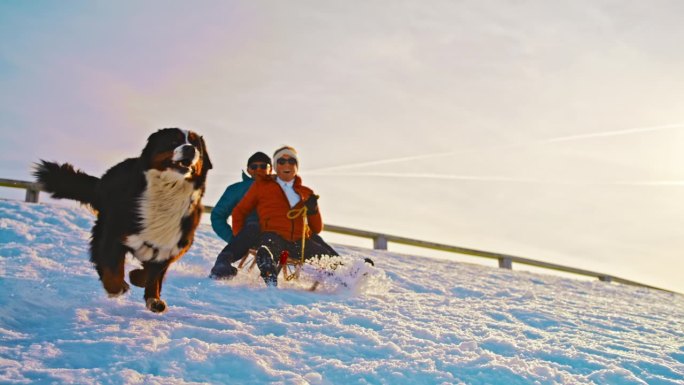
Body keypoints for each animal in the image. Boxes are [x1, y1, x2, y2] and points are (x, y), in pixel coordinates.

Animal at [34, 128, 211, 312]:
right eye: (173, 141)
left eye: (196, 145)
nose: (190, 149)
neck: (167, 194)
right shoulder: (113, 233)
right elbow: (113, 268)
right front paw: (118, 288)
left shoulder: (175, 244)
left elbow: (153, 274)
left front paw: (151, 296)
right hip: (103, 224)